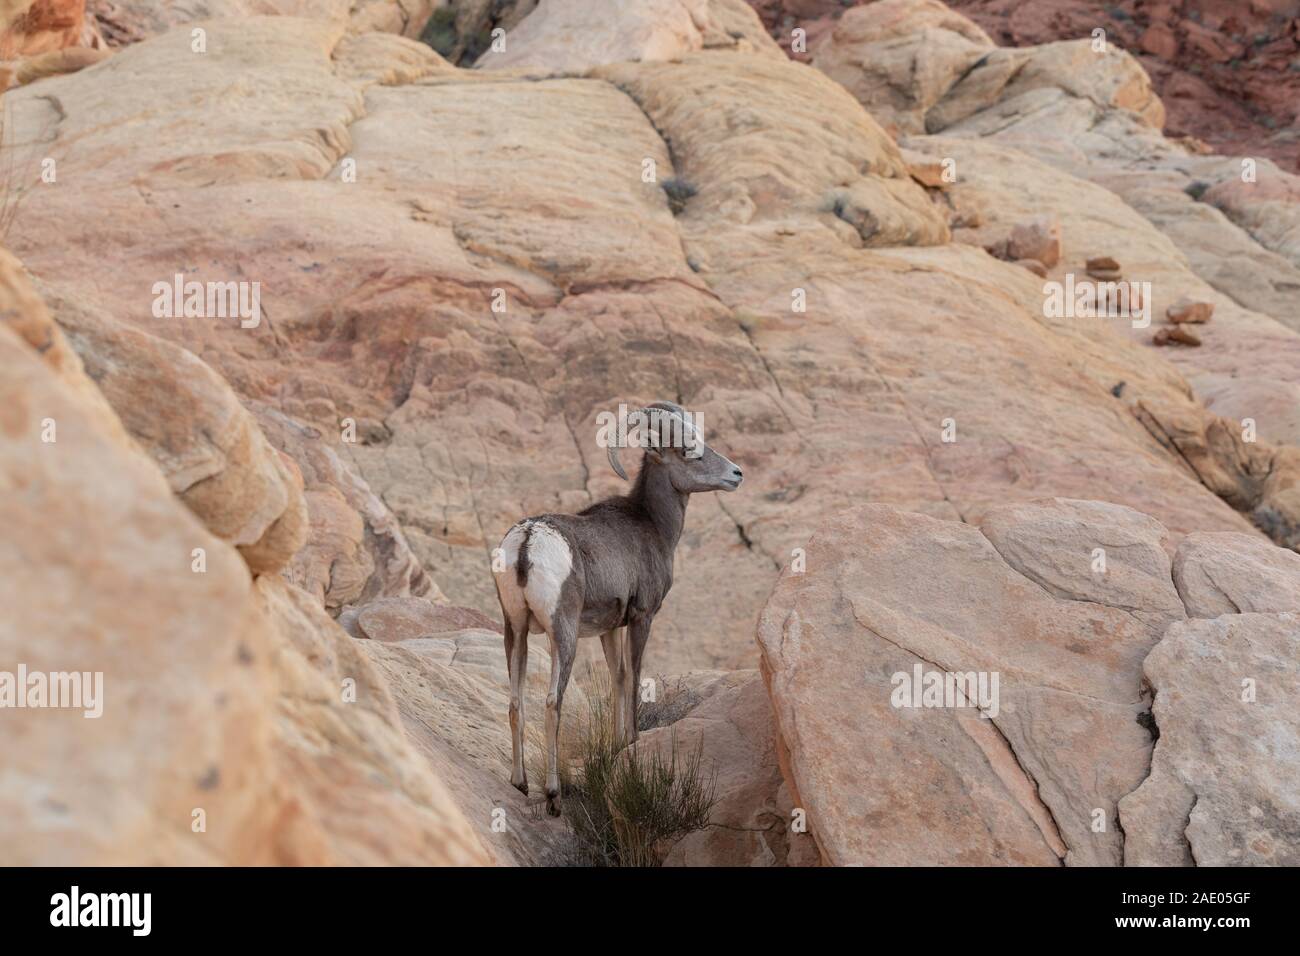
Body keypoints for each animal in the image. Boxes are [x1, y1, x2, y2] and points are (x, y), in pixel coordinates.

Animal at [491, 403, 748, 816]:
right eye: (687, 450)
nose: (736, 474)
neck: (652, 526)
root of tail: (528, 540)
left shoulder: (609, 628)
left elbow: (619, 677)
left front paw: (616, 746)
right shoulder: (642, 617)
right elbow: (635, 677)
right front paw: (633, 742)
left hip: (515, 630)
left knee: (516, 703)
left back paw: (520, 783)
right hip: (563, 634)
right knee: (552, 702)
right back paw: (553, 796)